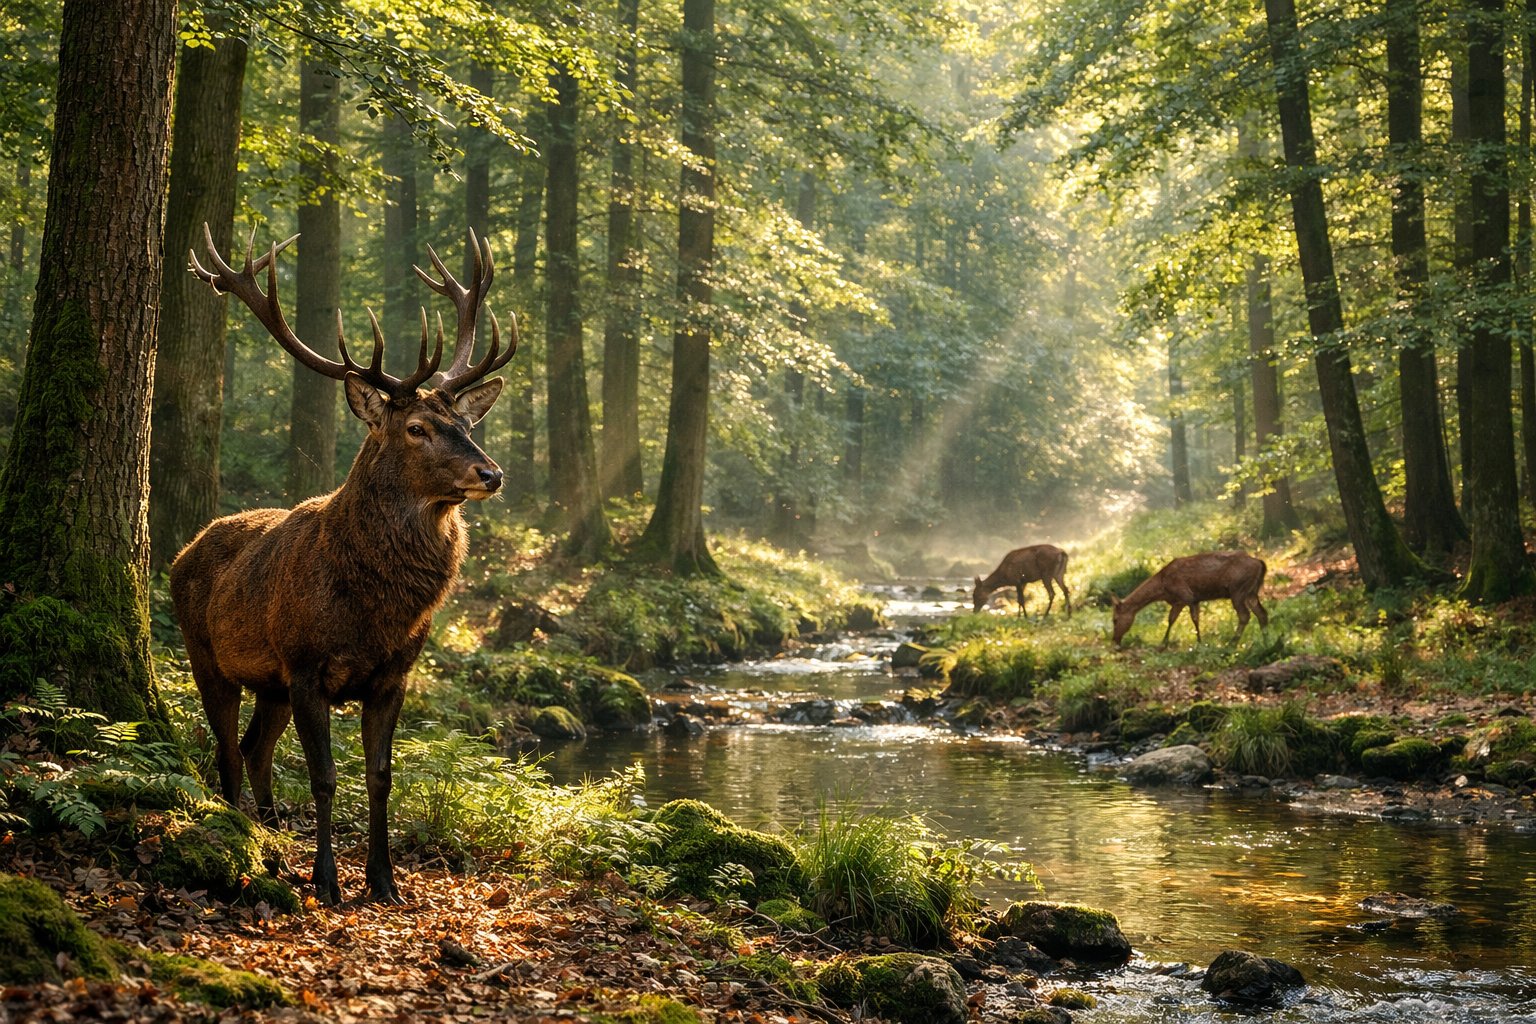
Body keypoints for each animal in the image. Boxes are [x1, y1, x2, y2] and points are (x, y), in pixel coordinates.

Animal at [169, 225, 514, 905]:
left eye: (464, 421)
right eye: (416, 427)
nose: (490, 472)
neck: (375, 612)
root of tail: (183, 549)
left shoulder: (392, 676)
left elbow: (381, 776)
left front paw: (384, 880)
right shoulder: (307, 666)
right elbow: (326, 777)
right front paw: (327, 880)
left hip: (269, 682)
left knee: (254, 748)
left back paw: (272, 839)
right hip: (207, 655)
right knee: (227, 750)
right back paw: (243, 836)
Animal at [1110, 551, 1268, 648]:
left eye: (1115, 619)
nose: (1114, 640)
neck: (1162, 587)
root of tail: (1260, 563)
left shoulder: (1186, 596)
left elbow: (1189, 619)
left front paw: (1197, 642)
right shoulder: (1184, 600)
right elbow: (1176, 619)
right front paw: (1166, 642)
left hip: (1238, 590)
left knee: (1245, 615)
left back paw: (1232, 643)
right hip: (1251, 592)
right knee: (1262, 613)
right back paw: (1266, 640)